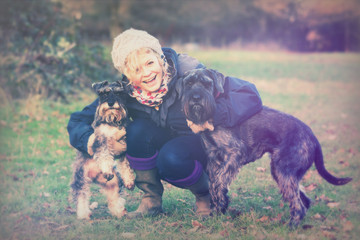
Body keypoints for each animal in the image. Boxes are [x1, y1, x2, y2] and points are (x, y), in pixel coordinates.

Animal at [69, 80, 134, 219]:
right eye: (103, 94)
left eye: (118, 93)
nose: (110, 103)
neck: (113, 122)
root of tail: (94, 177)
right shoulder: (100, 139)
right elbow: (104, 155)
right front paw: (106, 167)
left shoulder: (125, 145)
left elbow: (126, 164)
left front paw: (129, 180)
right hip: (80, 178)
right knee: (81, 195)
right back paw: (83, 214)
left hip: (114, 182)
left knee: (114, 197)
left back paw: (119, 211)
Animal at [179, 68, 352, 227]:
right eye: (189, 83)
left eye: (207, 83)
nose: (196, 98)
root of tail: (313, 137)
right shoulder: (214, 158)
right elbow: (215, 182)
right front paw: (217, 211)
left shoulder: (234, 153)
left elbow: (218, 182)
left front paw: (219, 207)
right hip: (282, 173)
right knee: (304, 198)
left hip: (284, 171)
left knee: (298, 203)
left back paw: (291, 226)